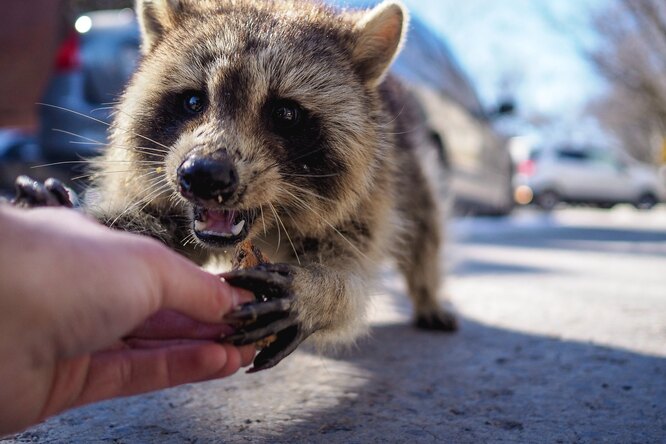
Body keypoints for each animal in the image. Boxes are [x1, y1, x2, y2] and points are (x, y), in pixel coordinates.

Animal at [15, 0, 454, 372]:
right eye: (193, 101)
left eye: (285, 113)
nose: (203, 175)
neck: (268, 224)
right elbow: (149, 224)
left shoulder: (373, 194)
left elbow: (354, 275)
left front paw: (322, 292)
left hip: (409, 166)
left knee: (426, 225)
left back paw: (427, 291)